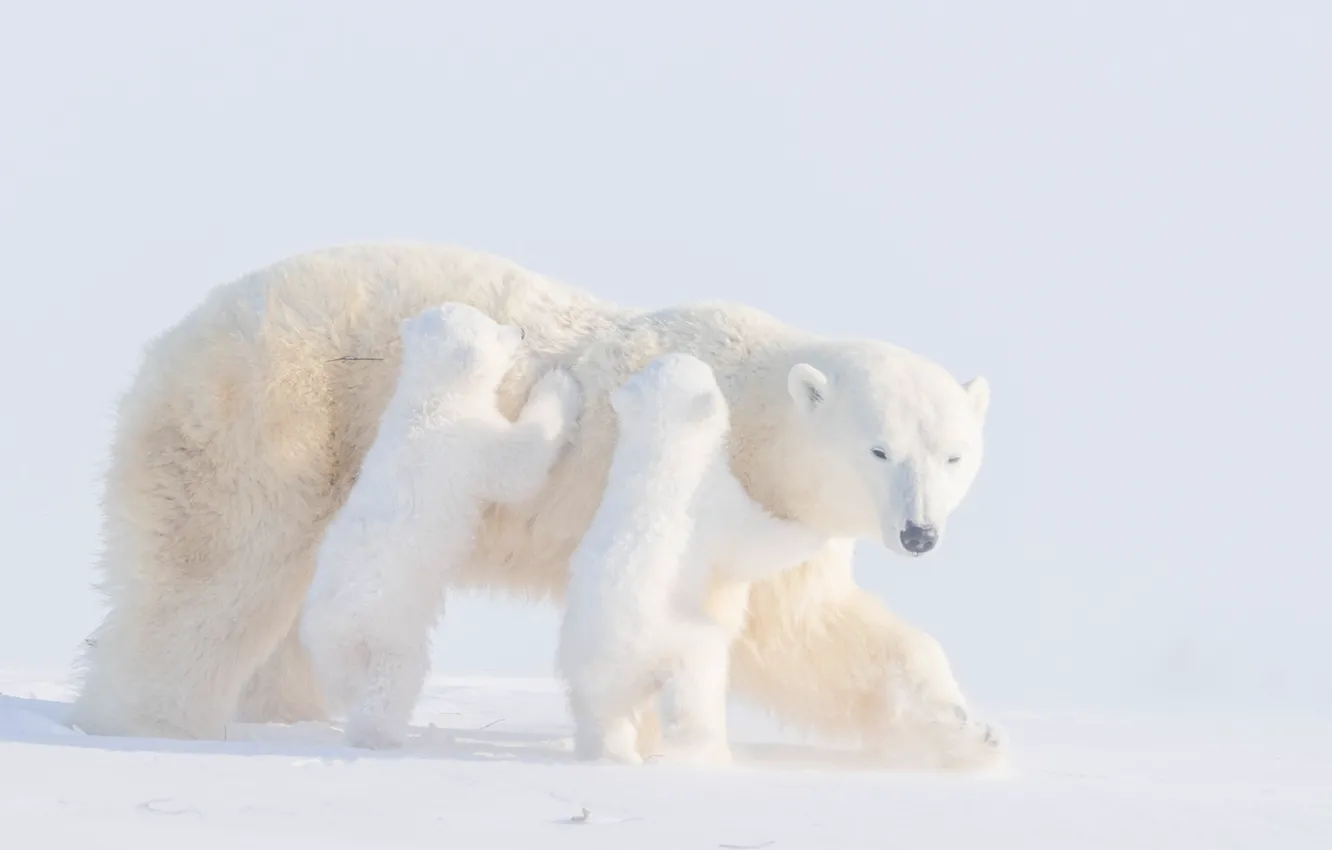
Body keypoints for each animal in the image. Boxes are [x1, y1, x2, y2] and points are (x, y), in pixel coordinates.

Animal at [300, 302, 582, 750]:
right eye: (495, 328)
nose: (520, 331)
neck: (431, 401)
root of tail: (335, 617)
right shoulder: (470, 443)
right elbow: (518, 467)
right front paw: (561, 382)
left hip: (328, 641)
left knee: (344, 678)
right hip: (390, 624)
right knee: (393, 679)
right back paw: (383, 736)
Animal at [559, 353, 829, 767]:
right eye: (706, 372)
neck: (660, 449)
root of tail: (616, 650)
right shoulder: (711, 499)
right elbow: (753, 545)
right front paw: (818, 531)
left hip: (591, 675)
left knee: (604, 717)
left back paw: (612, 754)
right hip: (672, 635)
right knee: (699, 675)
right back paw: (709, 751)